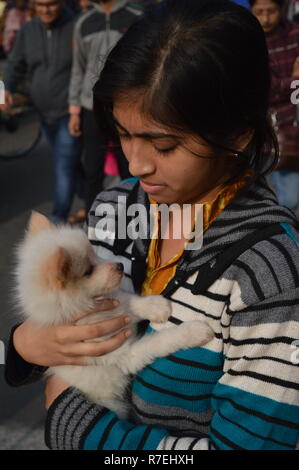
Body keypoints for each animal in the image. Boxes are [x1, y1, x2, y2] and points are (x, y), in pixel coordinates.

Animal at [15, 213, 214, 418]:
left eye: (94, 252)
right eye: (88, 271)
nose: (119, 266)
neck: (90, 307)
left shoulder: (116, 307)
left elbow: (130, 302)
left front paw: (157, 306)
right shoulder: (124, 354)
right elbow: (160, 341)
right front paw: (194, 332)